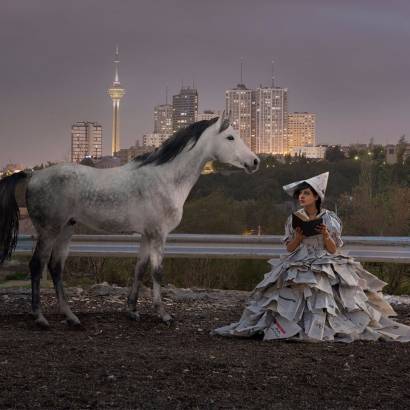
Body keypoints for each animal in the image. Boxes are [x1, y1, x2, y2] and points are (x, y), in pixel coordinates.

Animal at [0, 113, 260, 328]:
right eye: (230, 137)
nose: (255, 161)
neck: (165, 178)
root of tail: (33, 175)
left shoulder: (146, 235)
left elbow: (139, 269)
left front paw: (132, 310)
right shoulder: (158, 235)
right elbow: (157, 272)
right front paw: (163, 314)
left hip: (66, 229)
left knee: (55, 267)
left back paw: (71, 317)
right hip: (49, 231)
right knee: (37, 265)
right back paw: (40, 317)